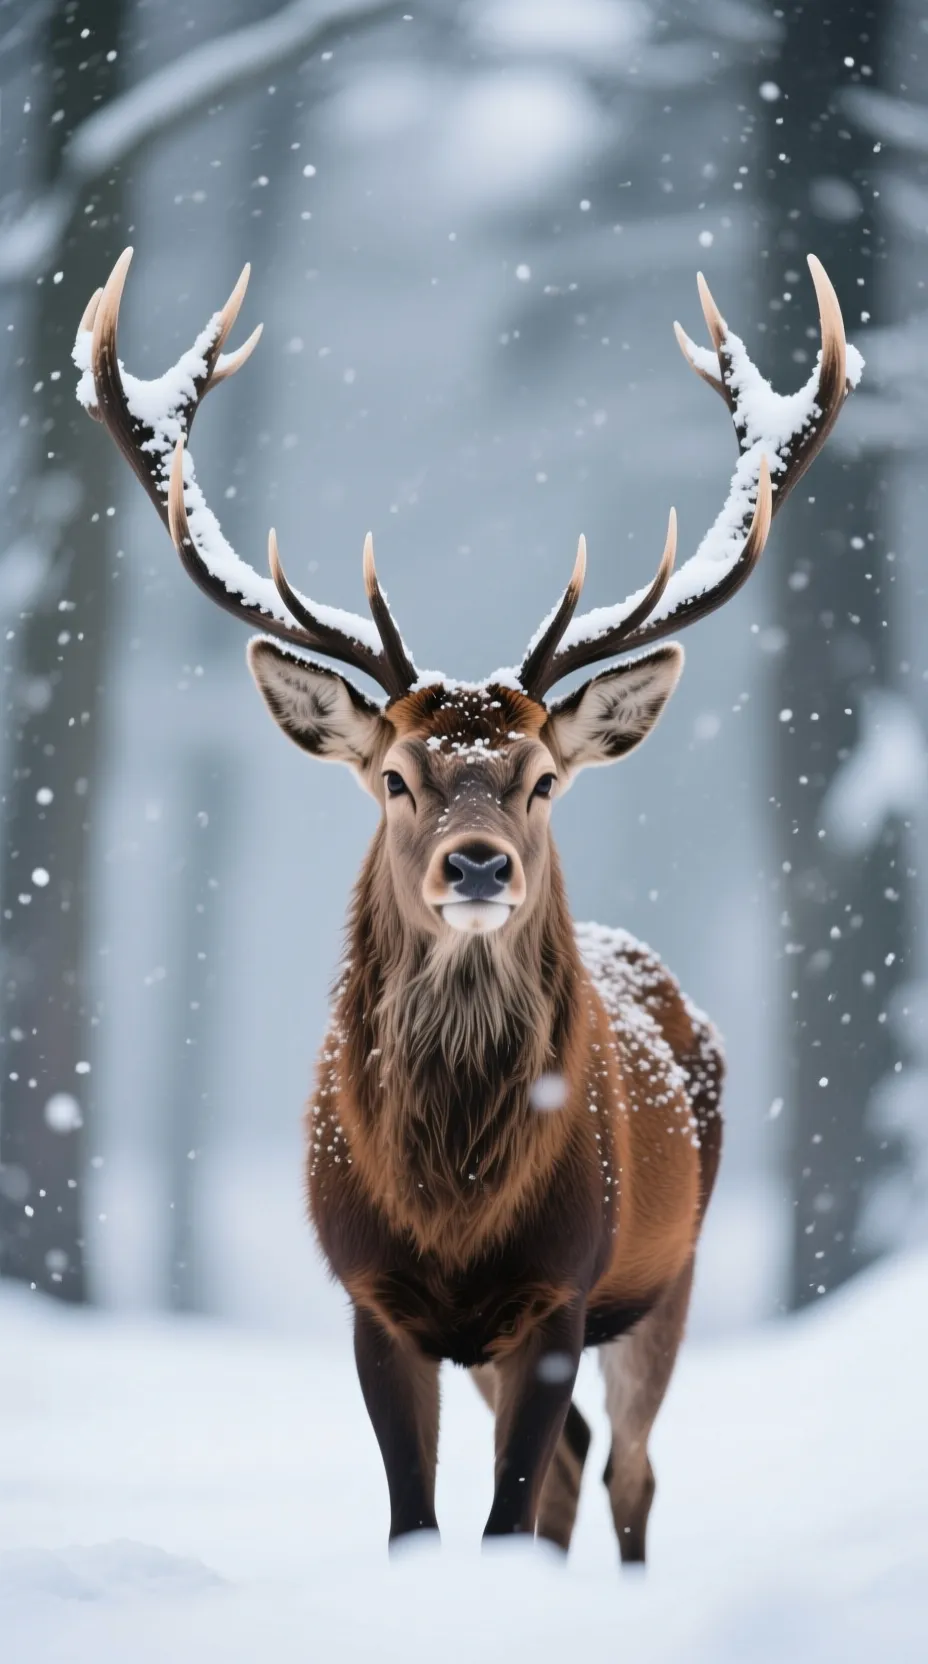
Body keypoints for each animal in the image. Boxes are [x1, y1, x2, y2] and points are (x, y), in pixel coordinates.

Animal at [75, 248, 857, 1559]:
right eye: (394, 776)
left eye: (542, 779)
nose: (479, 864)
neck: (450, 1204)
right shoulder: (374, 1297)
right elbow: (419, 1520)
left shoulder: (559, 1288)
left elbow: (504, 1514)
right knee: (579, 1466)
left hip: (670, 1269)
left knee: (627, 1469)